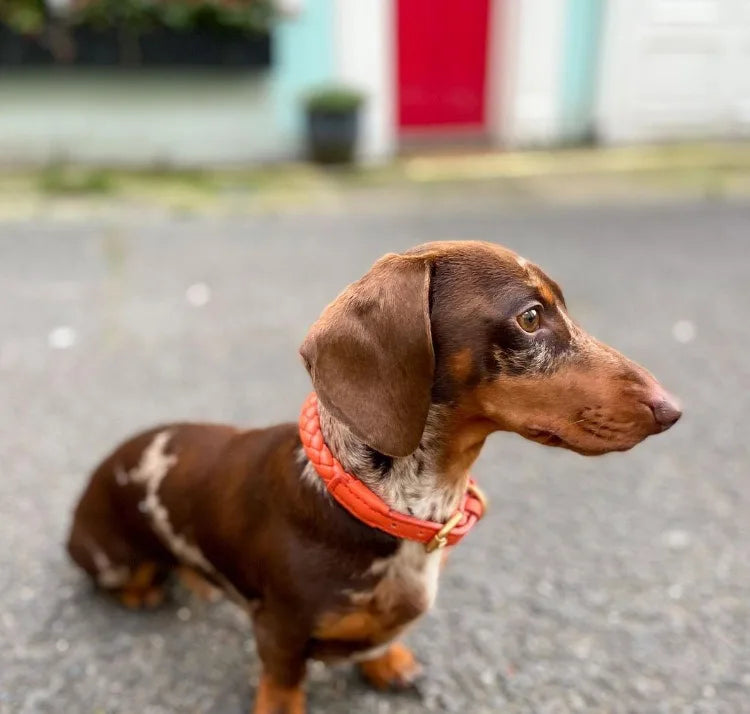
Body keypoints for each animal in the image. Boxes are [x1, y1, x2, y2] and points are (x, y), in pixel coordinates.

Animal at [69, 241, 680, 712]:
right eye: (530, 316)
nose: (672, 409)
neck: (398, 505)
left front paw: (388, 661)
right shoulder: (279, 631)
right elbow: (282, 684)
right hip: (112, 559)